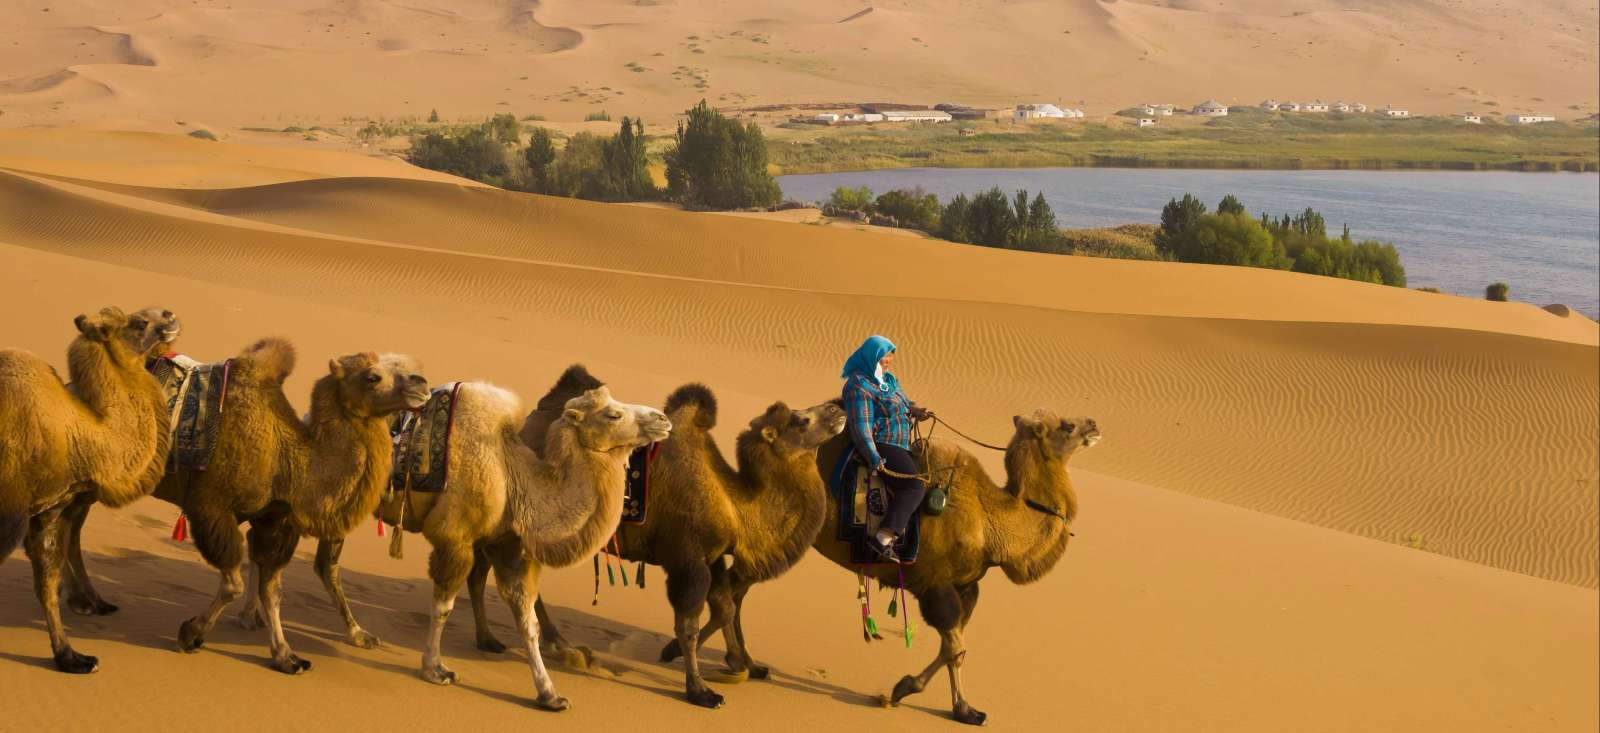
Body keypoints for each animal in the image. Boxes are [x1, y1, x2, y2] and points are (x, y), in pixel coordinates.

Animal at [0, 305, 175, 672]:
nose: (170, 314)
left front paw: (70, 656)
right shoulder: (9, 514)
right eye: (140, 322)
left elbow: (47, 582)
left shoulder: (48, 509)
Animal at [380, 372, 668, 710]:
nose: (662, 419)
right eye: (613, 414)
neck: (512, 475)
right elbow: (443, 606)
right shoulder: (455, 538)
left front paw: (550, 695)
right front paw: (434, 669)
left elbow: (528, 622)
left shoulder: (507, 546)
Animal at [720, 409, 1094, 723]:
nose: (1093, 424)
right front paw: (910, 693)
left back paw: (749, 663)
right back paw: (737, 662)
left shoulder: (967, 586)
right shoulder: (936, 587)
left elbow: (952, 648)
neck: (990, 521)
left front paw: (956, 706)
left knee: (737, 591)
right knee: (732, 588)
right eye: (1067, 426)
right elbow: (956, 647)